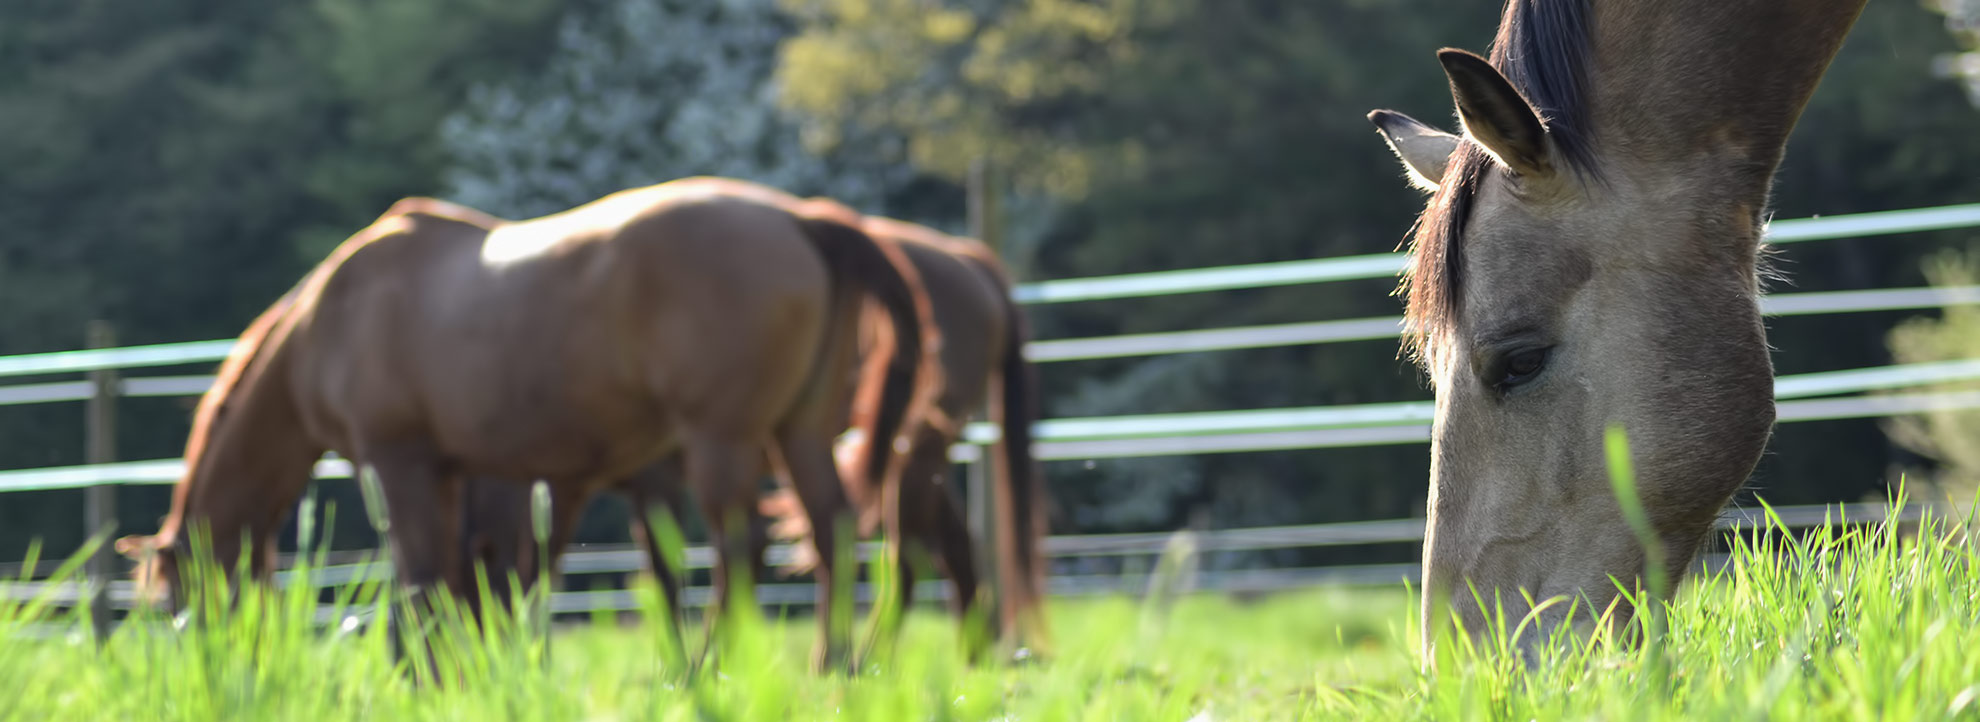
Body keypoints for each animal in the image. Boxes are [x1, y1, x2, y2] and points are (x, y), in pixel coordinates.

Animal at [112, 176, 946, 668]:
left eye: (178, 599)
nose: (215, 664)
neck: (330, 318)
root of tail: (801, 220)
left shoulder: (399, 462)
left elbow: (424, 580)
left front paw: (423, 677)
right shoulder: (462, 474)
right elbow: (459, 586)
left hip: (723, 440)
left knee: (739, 550)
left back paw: (713, 666)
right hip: (798, 434)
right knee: (834, 532)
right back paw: (836, 667)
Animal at [463, 209, 1053, 652]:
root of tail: (969, 261)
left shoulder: (649, 480)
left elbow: (658, 574)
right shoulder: (582, 485)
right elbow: (560, 565)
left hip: (911, 455)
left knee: (908, 556)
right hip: (913, 457)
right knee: (949, 546)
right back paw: (970, 658)